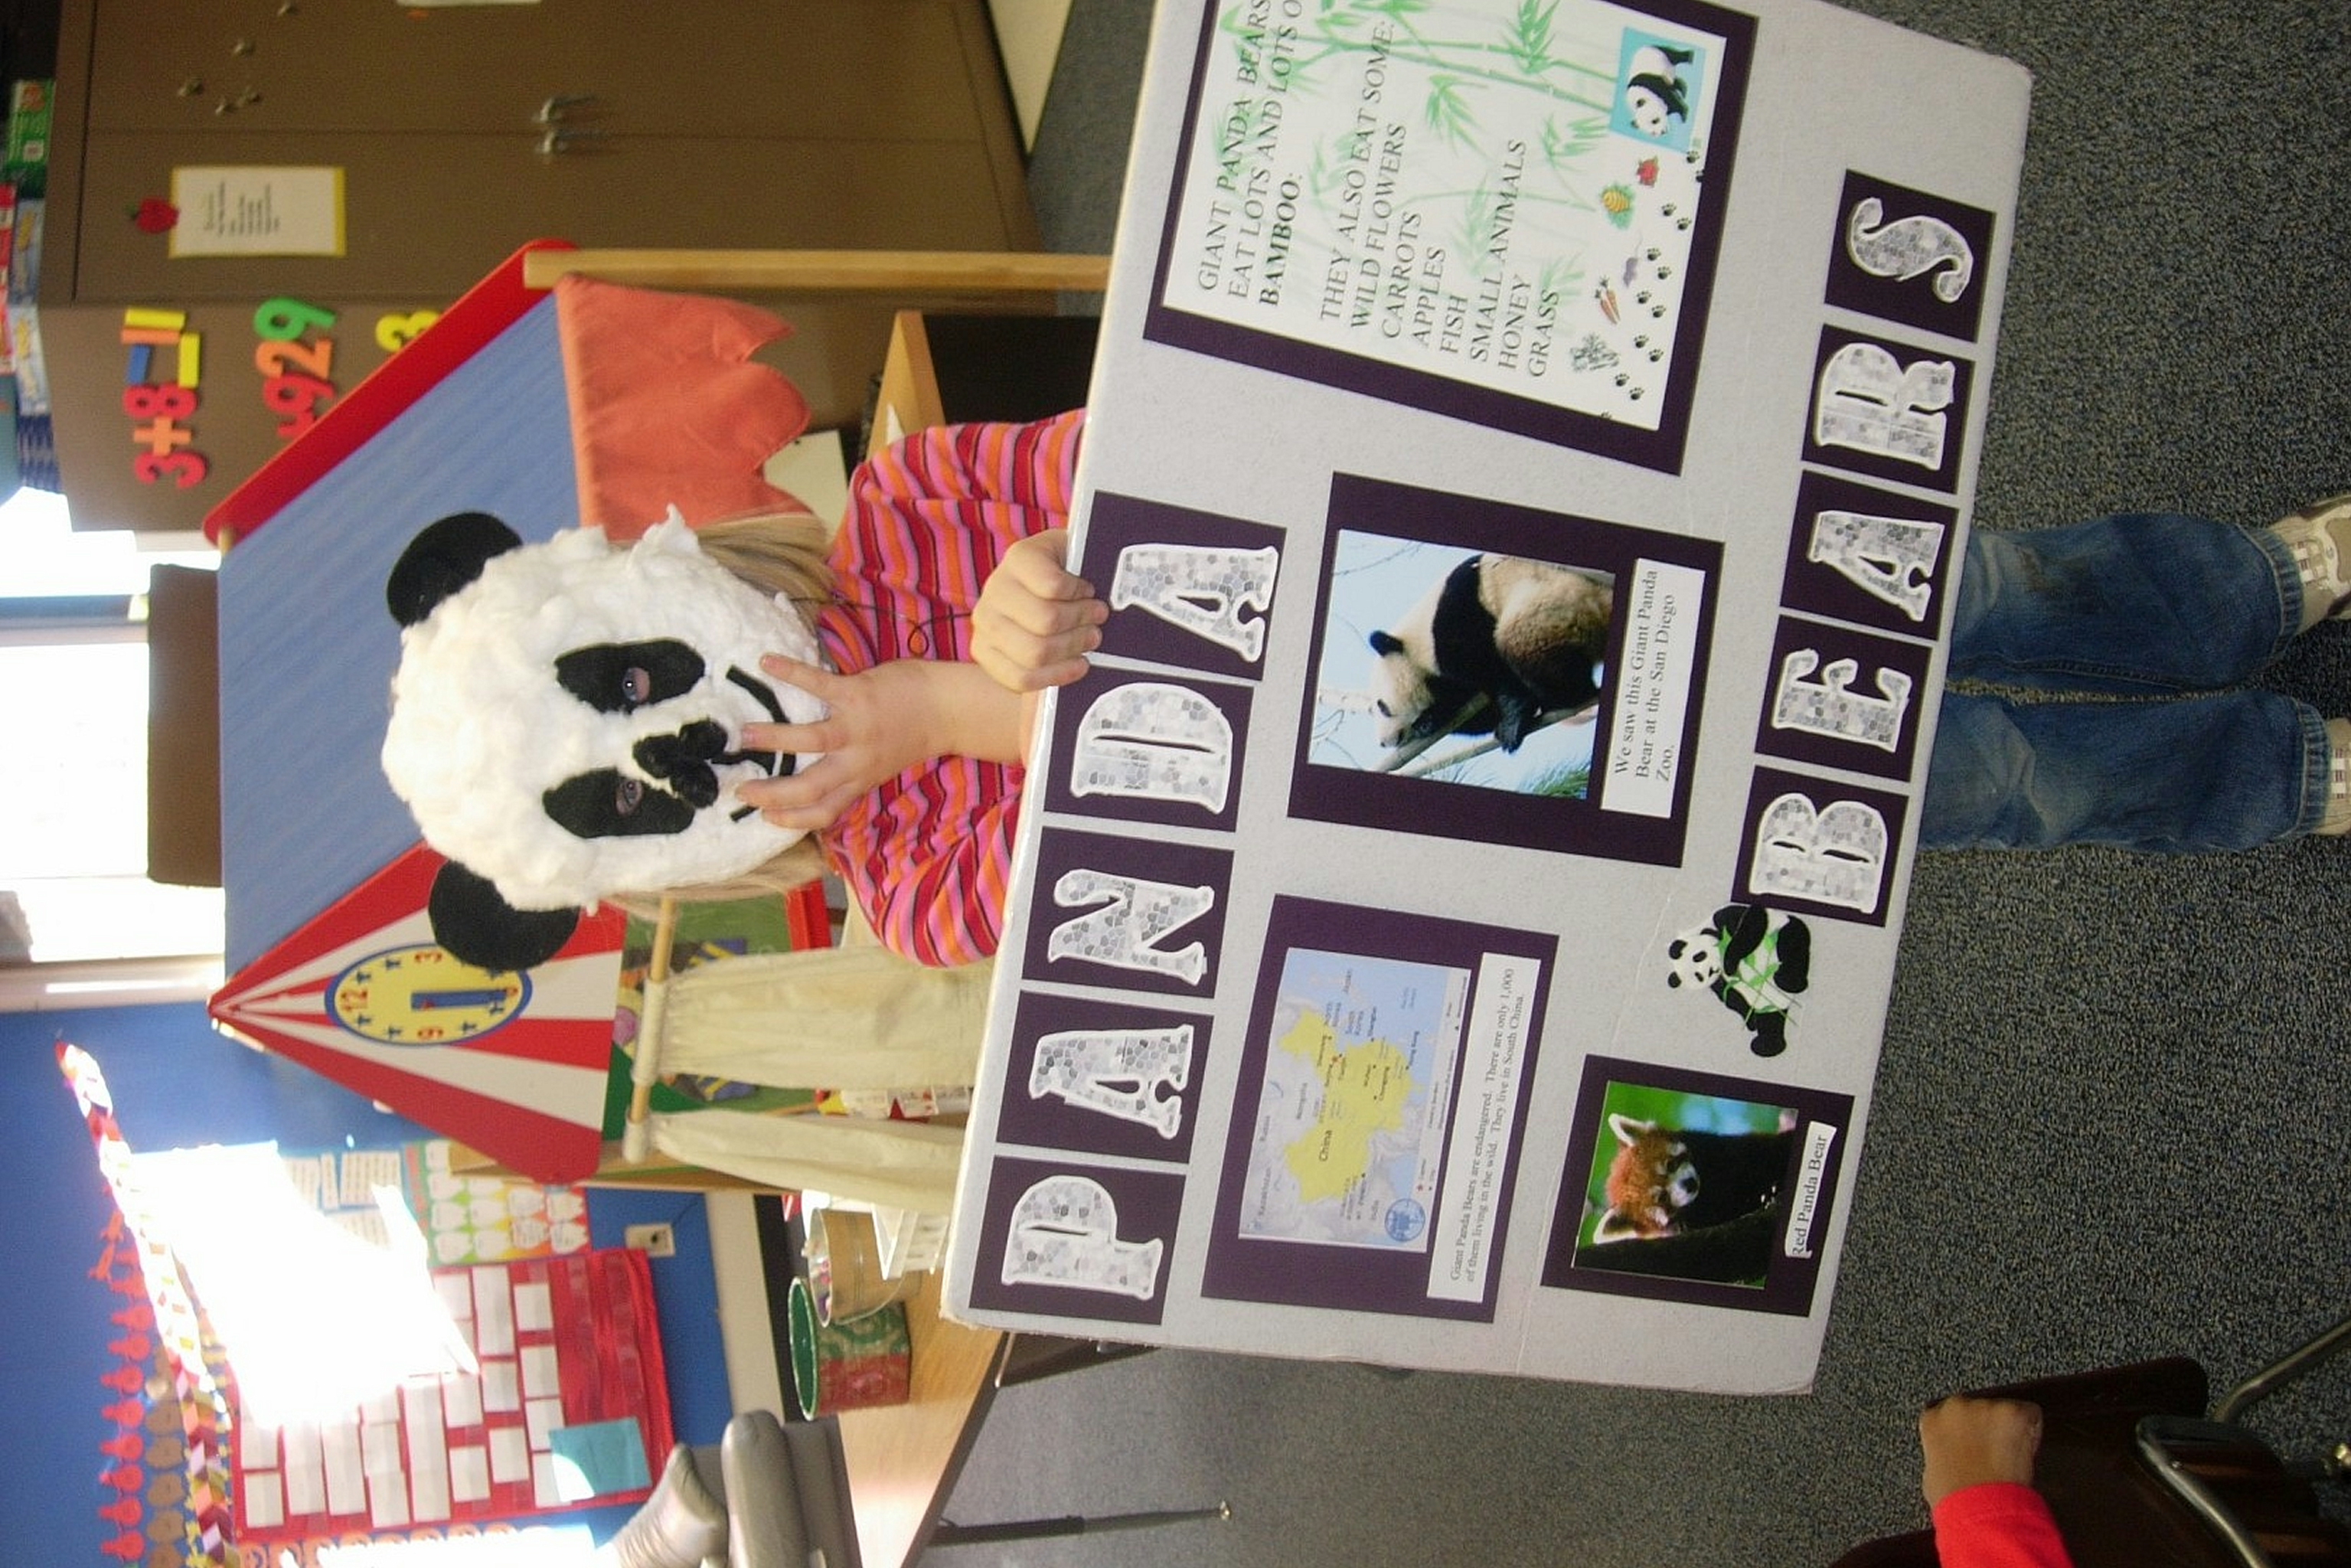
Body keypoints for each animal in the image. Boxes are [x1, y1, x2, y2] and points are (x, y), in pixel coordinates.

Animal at [1366, 552, 1614, 755]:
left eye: (1382, 707)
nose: (1384, 742)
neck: (1417, 637)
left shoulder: (1456, 623)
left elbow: (1493, 669)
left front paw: (1512, 721)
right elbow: (1474, 707)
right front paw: (1428, 721)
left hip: (1556, 605)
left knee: (1524, 644)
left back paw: (1568, 696)